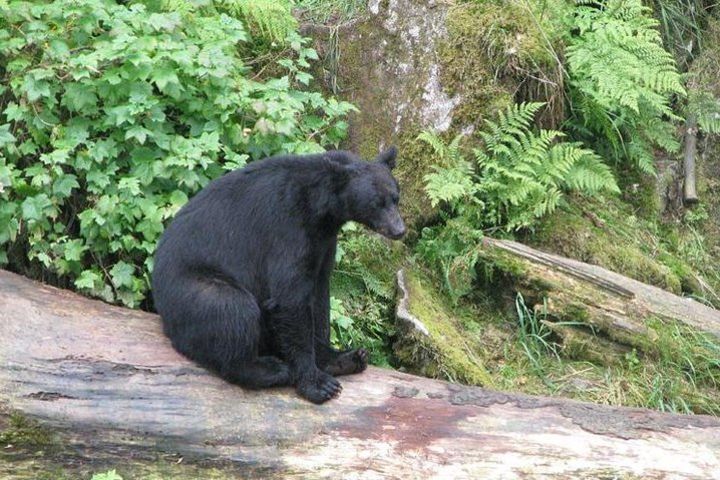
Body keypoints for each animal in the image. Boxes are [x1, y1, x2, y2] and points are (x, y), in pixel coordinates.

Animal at [153, 146, 404, 402]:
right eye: (376, 203)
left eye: (396, 197)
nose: (399, 230)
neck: (320, 209)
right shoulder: (287, 230)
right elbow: (290, 297)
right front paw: (318, 384)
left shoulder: (324, 242)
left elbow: (320, 295)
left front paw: (334, 358)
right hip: (196, 290)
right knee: (234, 310)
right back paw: (272, 369)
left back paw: (351, 358)